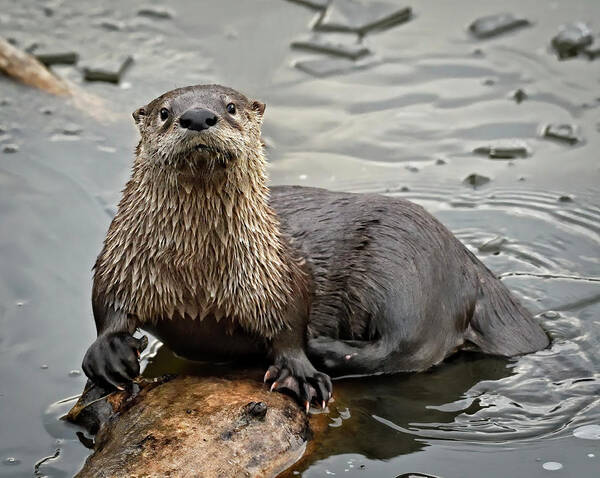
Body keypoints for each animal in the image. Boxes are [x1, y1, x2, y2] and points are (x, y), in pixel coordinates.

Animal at [82, 84, 552, 408]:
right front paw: (109, 353)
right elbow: (106, 305)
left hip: (406, 272)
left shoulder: (277, 275)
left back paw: (322, 349)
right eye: (165, 112)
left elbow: (290, 324)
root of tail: (472, 268)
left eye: (230, 107)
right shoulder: (122, 258)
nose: (198, 116)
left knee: (402, 349)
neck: (197, 276)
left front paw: (299, 371)